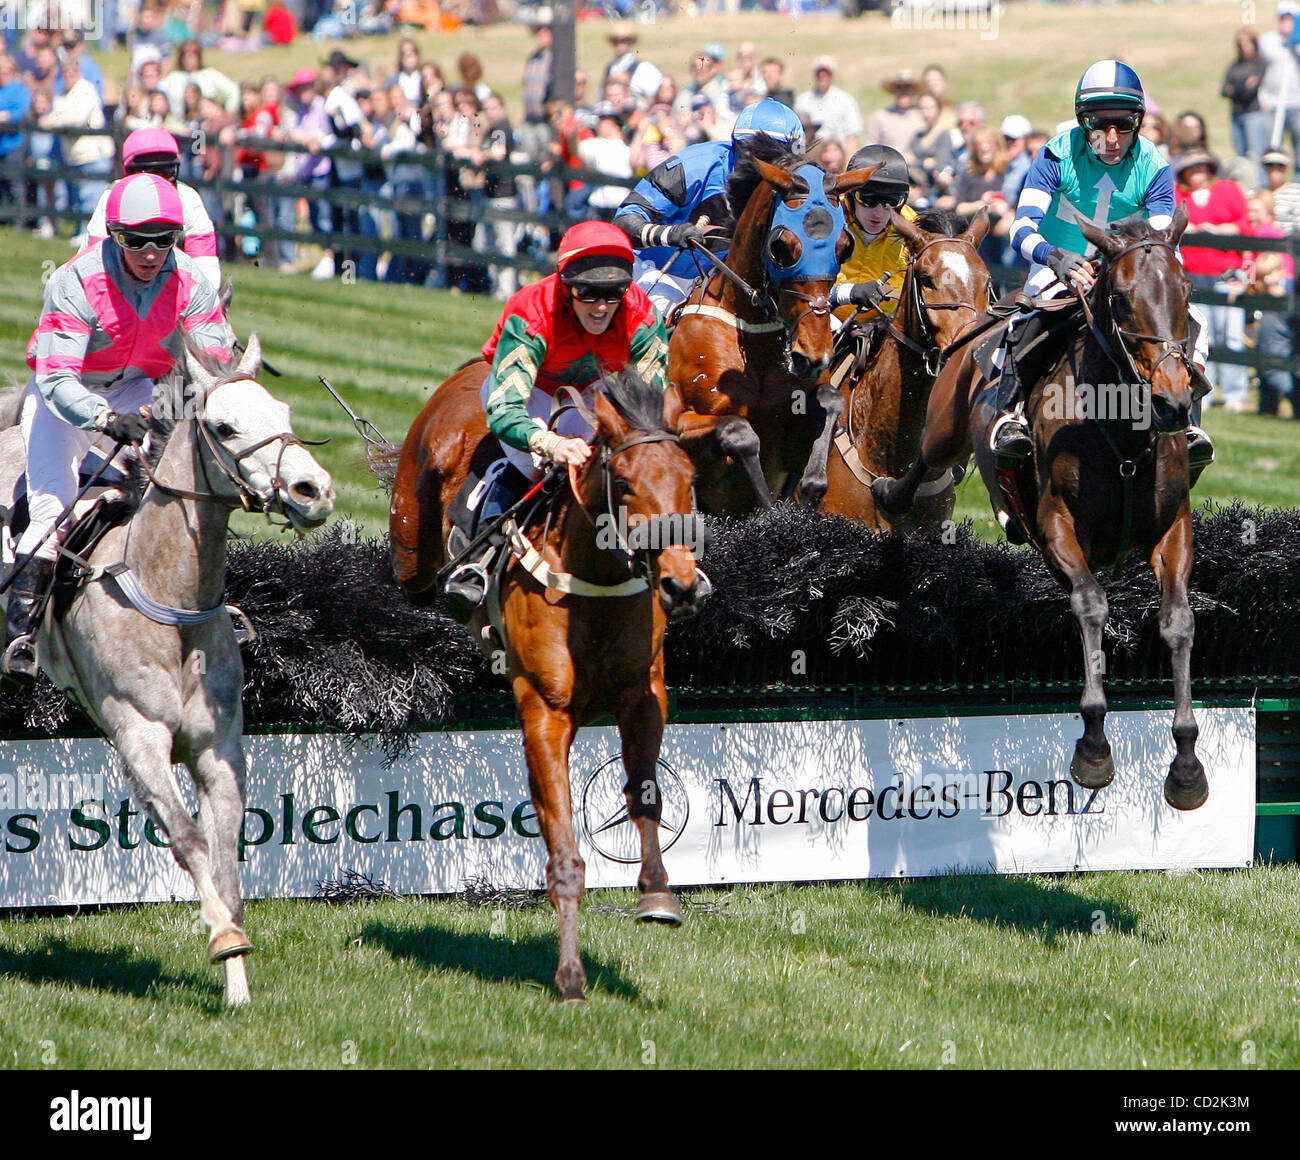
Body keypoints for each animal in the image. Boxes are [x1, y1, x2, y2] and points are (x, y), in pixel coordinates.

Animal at [2, 335, 335, 1003]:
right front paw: (225, 940)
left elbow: (225, 853)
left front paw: (238, 986)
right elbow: (186, 838)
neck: (168, 597)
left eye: (284, 413)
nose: (313, 490)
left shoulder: (218, 748)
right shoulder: (139, 736)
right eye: (225, 427)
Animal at [390, 366, 707, 1003]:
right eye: (625, 483)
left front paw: (658, 893)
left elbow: (645, 792)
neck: (596, 580)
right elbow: (563, 847)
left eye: (690, 479)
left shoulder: (643, 696)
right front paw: (570, 978)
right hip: (411, 543)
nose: (681, 585)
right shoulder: (544, 709)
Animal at [676, 146, 878, 517]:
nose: (813, 354)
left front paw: (806, 495)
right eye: (781, 246)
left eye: (844, 246)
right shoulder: (683, 421)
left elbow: (830, 402)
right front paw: (770, 514)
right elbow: (739, 432)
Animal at [873, 204, 1206, 811]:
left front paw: (1187, 765)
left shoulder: (1173, 530)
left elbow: (1178, 622)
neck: (1121, 430)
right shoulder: (1056, 525)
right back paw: (892, 493)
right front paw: (1094, 747)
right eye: (1122, 297)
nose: (1173, 400)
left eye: (1186, 292)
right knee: (924, 459)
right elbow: (1091, 604)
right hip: (946, 423)